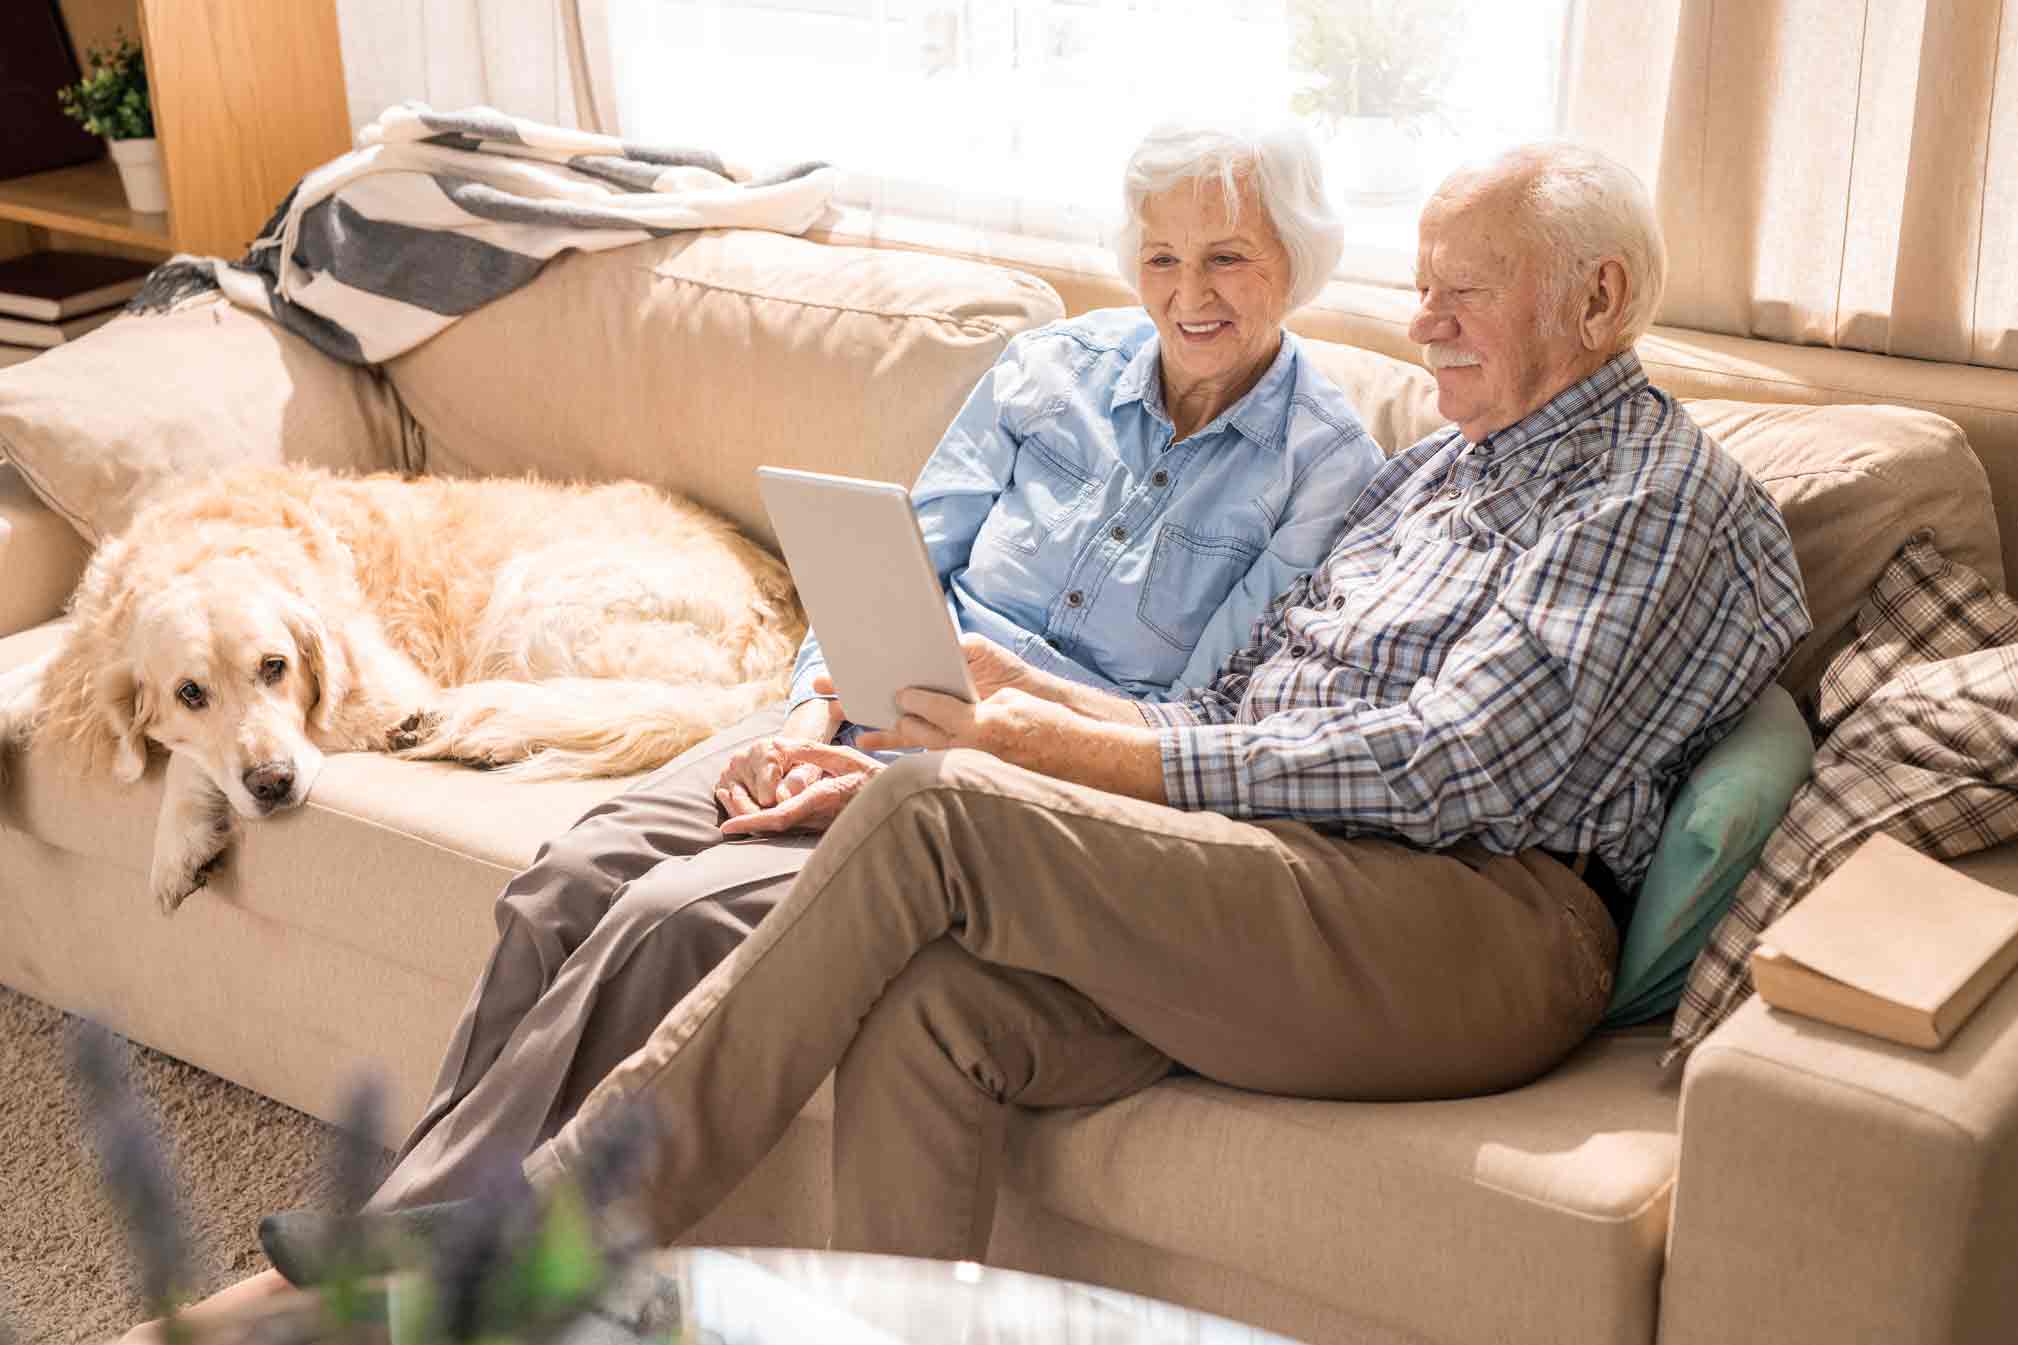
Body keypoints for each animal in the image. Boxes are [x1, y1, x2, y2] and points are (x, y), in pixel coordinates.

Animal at [0, 463, 803, 915]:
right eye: (190, 692)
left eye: (275, 667)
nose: (273, 784)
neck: (210, 542)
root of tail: (784, 628)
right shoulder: (88, 652)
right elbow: (38, 677)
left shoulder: (375, 690)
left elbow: (196, 762)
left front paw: (178, 839)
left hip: (540, 599)